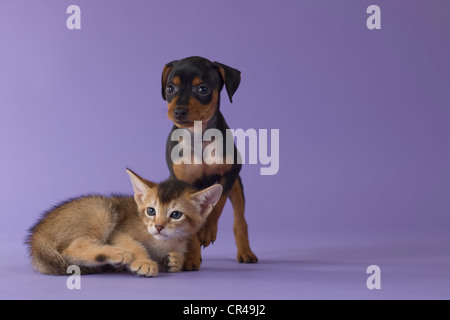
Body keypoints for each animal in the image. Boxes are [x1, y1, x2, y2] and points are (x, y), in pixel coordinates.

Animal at [26, 170, 221, 278]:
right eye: (151, 211)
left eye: (176, 214)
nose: (158, 227)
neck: (163, 243)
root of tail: (38, 233)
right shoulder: (118, 232)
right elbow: (134, 244)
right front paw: (144, 261)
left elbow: (177, 256)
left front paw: (175, 261)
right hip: (101, 208)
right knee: (72, 248)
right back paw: (117, 254)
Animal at [162, 55, 258, 270]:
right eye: (170, 88)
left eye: (203, 89)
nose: (178, 112)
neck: (199, 137)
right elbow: (187, 222)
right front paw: (191, 257)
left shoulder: (231, 172)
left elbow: (219, 202)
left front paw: (207, 232)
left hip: (237, 186)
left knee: (240, 220)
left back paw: (245, 252)